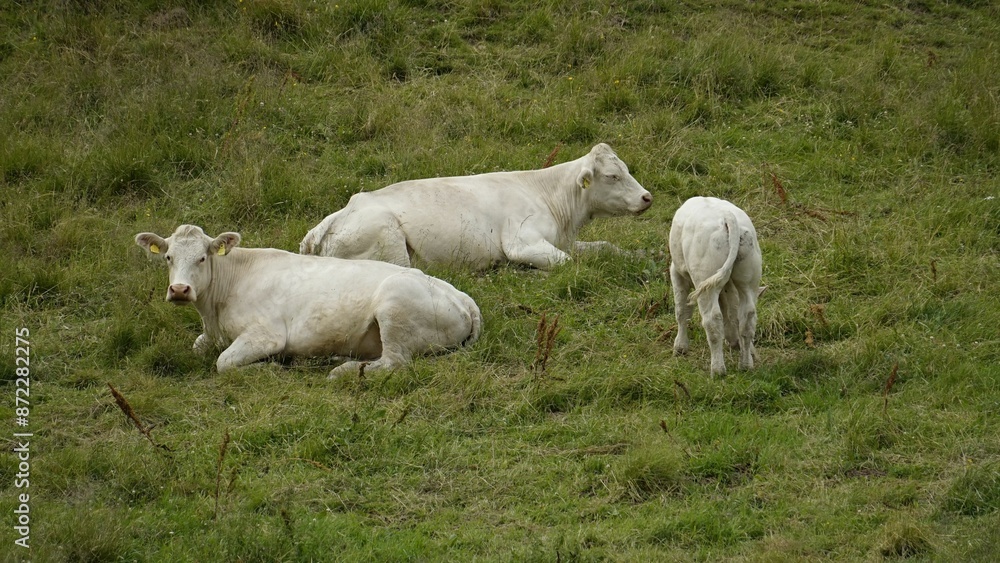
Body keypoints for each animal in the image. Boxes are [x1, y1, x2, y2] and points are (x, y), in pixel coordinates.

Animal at [136, 225, 480, 378]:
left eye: (203, 257)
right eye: (168, 257)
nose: (180, 289)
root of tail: (462, 297)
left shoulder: (267, 334)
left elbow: (224, 363)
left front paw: (271, 367)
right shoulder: (209, 334)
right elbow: (199, 346)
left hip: (394, 305)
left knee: (394, 362)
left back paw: (345, 370)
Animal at [300, 143, 652, 270]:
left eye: (627, 169)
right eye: (613, 176)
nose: (647, 197)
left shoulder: (563, 240)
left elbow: (606, 247)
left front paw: (641, 255)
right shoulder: (522, 243)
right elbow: (567, 263)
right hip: (389, 242)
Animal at [668, 196, 760, 376]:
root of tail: (727, 216)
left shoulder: (676, 272)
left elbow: (681, 311)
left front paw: (680, 347)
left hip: (704, 278)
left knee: (712, 320)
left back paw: (717, 370)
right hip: (748, 279)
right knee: (747, 318)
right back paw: (746, 365)